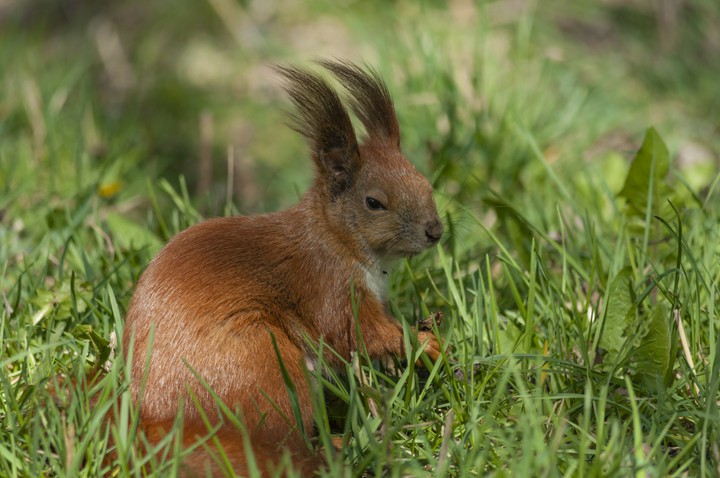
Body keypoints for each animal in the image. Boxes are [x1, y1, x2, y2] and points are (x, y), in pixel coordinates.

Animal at [123, 59, 444, 476]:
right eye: (374, 202)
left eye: (425, 183)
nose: (435, 231)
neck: (335, 237)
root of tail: (158, 421)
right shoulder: (328, 284)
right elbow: (359, 332)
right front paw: (424, 343)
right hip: (266, 365)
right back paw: (333, 447)